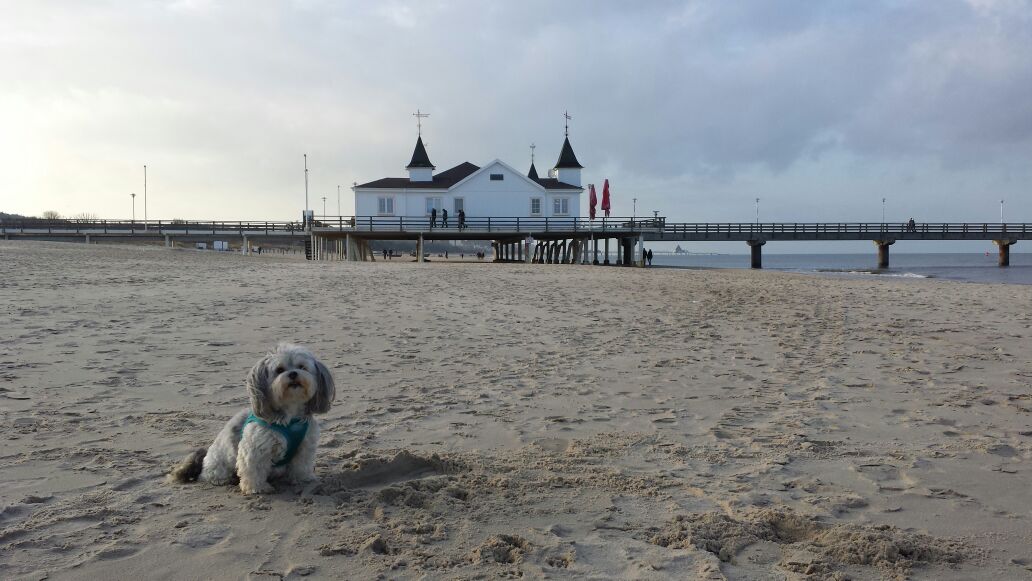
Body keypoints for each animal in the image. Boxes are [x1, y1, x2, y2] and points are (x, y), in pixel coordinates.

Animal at [166, 344, 334, 495]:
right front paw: (257, 488)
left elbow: (301, 465)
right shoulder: (256, 448)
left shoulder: (305, 445)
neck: (290, 412)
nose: (293, 374)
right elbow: (254, 469)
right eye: (279, 370)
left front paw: (303, 479)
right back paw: (221, 479)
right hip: (219, 462)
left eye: (302, 367)